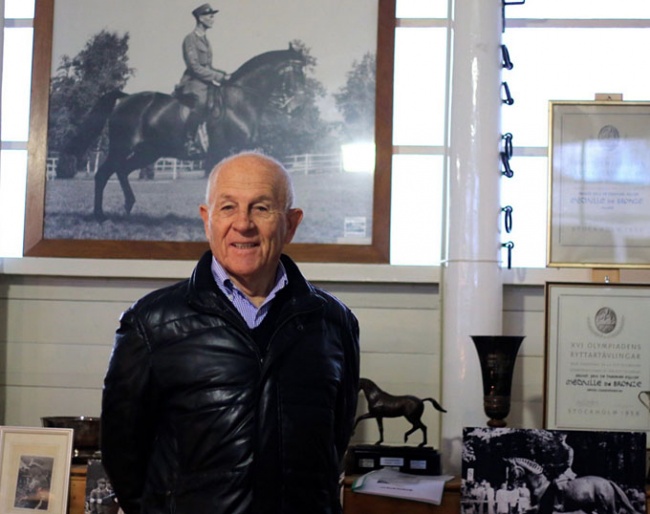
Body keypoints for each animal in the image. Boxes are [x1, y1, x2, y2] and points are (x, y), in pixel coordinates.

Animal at [65, 44, 306, 220]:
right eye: (297, 73)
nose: (297, 109)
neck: (240, 101)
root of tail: (125, 98)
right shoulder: (225, 150)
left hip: (148, 153)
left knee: (122, 171)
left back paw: (127, 207)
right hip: (121, 147)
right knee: (103, 174)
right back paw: (100, 215)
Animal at [502, 456, 636, 512]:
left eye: (512, 470)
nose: (510, 487)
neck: (539, 485)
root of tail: (607, 481)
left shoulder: (541, 509)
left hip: (606, 506)